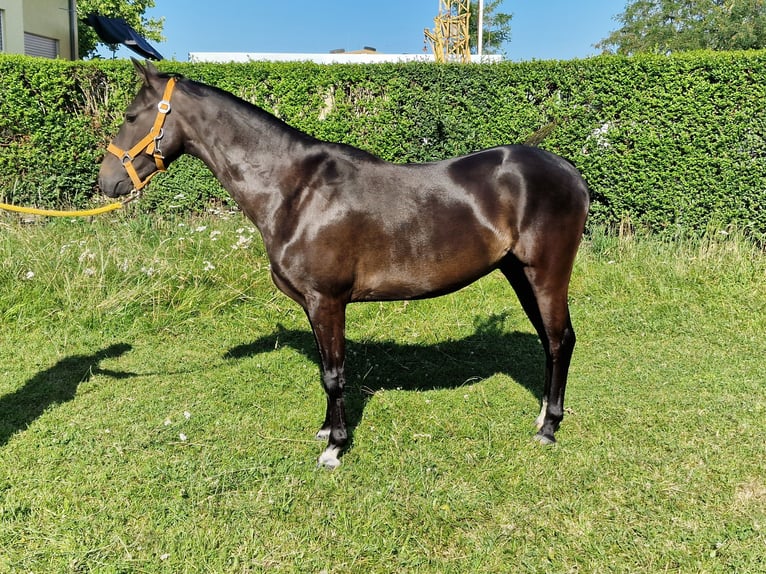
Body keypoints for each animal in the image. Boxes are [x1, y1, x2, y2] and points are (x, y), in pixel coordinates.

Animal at [99, 59, 590, 469]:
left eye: (130, 117)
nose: (107, 181)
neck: (295, 191)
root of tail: (570, 172)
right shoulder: (314, 306)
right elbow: (325, 368)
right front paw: (325, 431)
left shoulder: (327, 300)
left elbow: (334, 374)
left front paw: (335, 446)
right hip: (519, 274)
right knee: (548, 341)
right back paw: (542, 415)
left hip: (547, 274)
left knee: (561, 340)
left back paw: (549, 428)